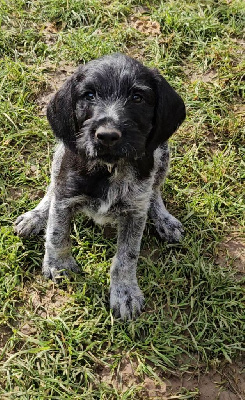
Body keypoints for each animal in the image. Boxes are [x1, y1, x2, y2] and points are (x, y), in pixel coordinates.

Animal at [13, 54, 186, 318]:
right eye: (89, 95)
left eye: (137, 97)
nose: (107, 135)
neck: (109, 168)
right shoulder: (65, 196)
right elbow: (57, 232)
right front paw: (58, 264)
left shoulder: (135, 211)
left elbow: (127, 256)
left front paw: (124, 292)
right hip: (60, 153)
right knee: (51, 186)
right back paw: (36, 215)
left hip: (162, 152)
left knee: (155, 191)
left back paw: (164, 219)